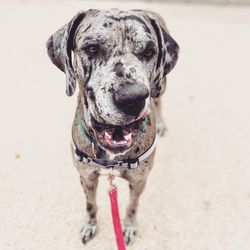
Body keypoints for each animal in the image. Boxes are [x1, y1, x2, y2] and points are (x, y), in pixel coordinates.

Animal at [47, 8, 179, 245]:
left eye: (149, 51)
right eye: (92, 48)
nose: (132, 98)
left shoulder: (139, 180)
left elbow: (132, 206)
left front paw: (129, 226)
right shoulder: (87, 177)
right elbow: (90, 205)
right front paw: (90, 225)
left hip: (161, 85)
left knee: (159, 100)